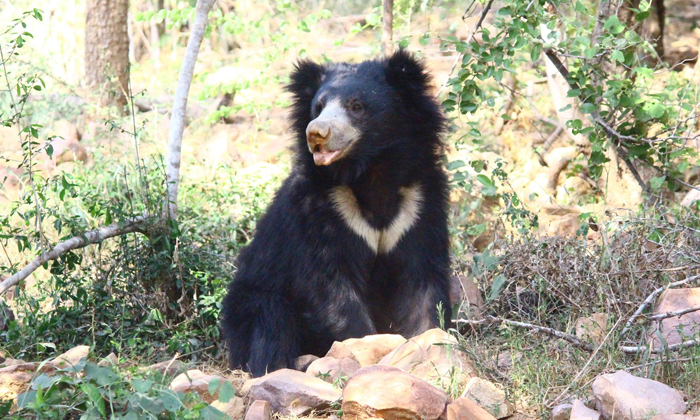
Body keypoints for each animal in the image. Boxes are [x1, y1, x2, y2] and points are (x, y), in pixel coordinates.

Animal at [224, 50, 454, 378]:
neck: (370, 172)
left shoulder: (419, 206)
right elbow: (330, 286)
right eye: (318, 107)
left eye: (356, 106)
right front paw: (364, 346)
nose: (316, 133)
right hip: (251, 299)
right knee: (271, 320)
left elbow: (421, 281)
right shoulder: (320, 210)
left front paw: (428, 343)